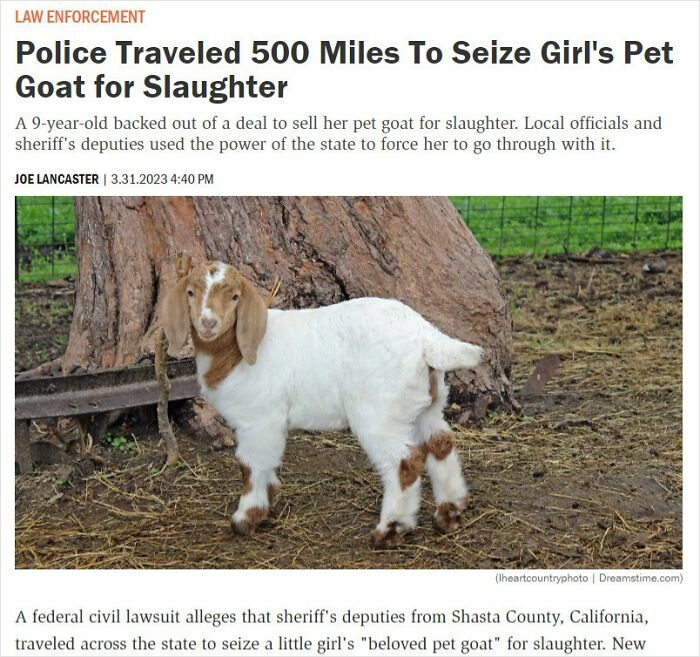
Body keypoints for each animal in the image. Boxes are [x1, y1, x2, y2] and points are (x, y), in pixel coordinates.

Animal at [162, 261, 484, 547]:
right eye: (190, 292)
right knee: (441, 443)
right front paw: (271, 493)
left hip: (379, 412)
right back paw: (450, 512)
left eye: (234, 297)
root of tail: (425, 338)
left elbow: (249, 464)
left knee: (405, 461)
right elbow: (265, 462)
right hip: (425, 404)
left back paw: (390, 529)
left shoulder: (260, 419)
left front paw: (246, 517)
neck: (237, 353)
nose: (208, 323)